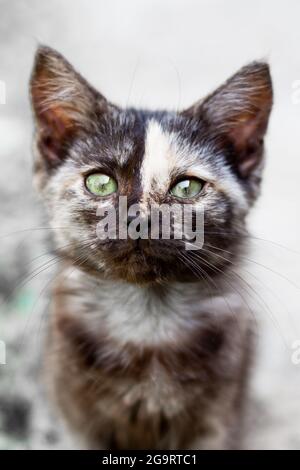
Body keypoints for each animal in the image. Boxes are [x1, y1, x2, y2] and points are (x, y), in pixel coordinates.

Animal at [29, 46, 272, 448]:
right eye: (100, 183)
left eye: (187, 188)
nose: (138, 218)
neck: (146, 319)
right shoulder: (76, 421)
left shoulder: (219, 419)